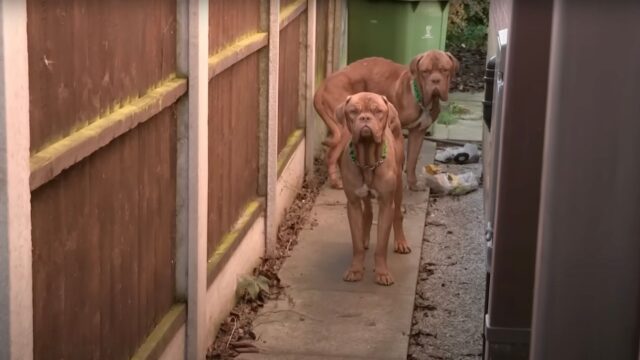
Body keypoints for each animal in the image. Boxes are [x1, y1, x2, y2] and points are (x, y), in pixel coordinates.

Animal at [312, 50, 458, 193]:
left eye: (445, 70)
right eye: (425, 71)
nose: (435, 80)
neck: (419, 96)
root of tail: (322, 86)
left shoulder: (418, 132)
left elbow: (412, 160)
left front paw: (413, 184)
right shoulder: (396, 130)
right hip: (347, 129)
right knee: (331, 156)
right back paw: (336, 182)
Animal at [336, 91, 410, 286]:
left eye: (378, 111)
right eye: (353, 111)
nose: (365, 118)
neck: (367, 159)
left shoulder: (386, 205)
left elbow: (382, 245)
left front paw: (382, 273)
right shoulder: (353, 204)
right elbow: (356, 244)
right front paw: (355, 269)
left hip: (398, 186)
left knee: (398, 214)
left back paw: (401, 242)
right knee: (368, 212)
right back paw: (365, 237)